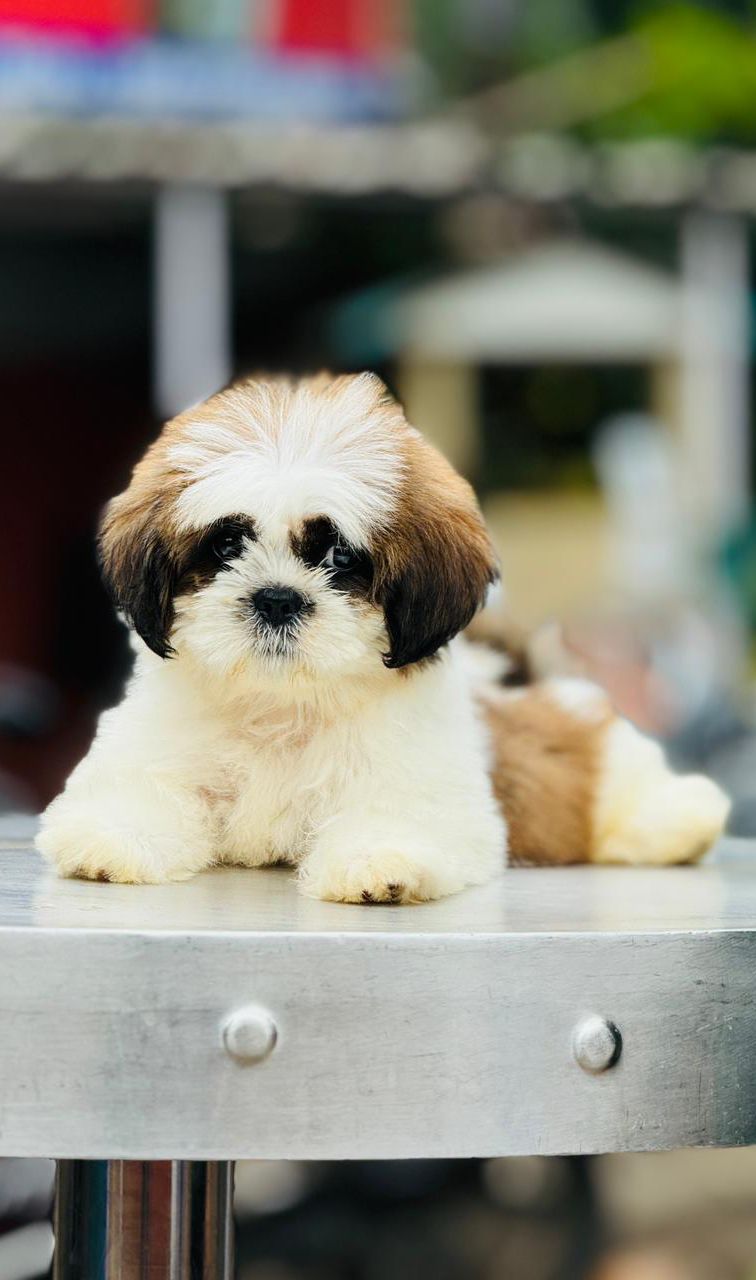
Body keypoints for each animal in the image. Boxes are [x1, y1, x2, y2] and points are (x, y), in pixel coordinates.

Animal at [36, 373, 731, 906]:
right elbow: (139, 793)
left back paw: (681, 818)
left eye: (341, 558)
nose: (277, 598)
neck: (283, 705)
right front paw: (113, 838)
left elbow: (400, 815)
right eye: (226, 545)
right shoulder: (160, 753)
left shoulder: (421, 783)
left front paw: (380, 861)